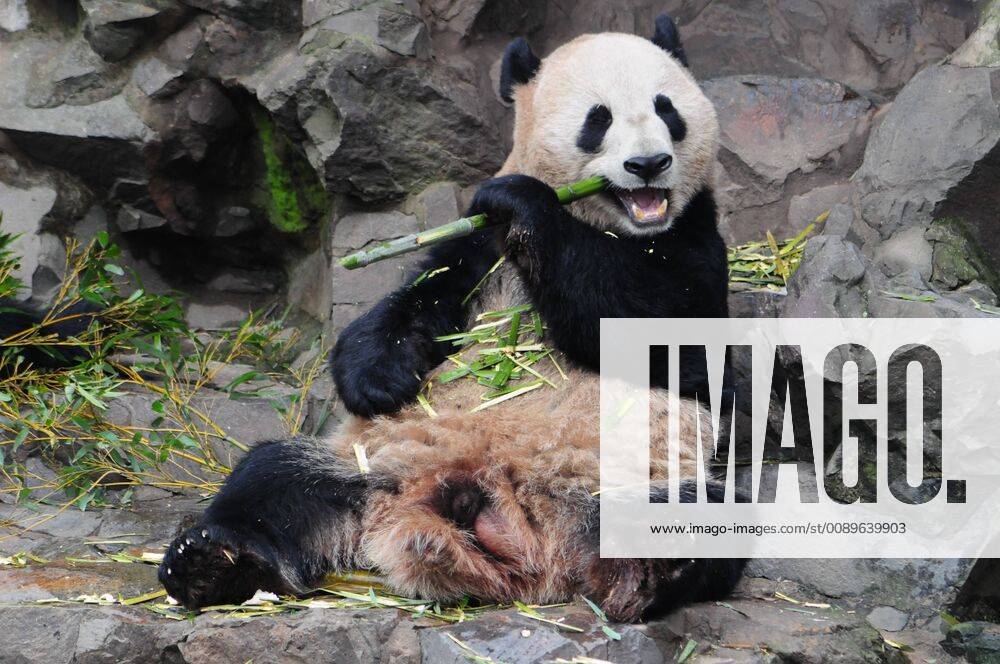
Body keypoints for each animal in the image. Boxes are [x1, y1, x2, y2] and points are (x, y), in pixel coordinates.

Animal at [158, 15, 744, 623]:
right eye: (597, 119)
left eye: (667, 109)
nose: (649, 164)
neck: (603, 222)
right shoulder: (476, 249)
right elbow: (414, 304)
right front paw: (377, 379)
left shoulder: (695, 240)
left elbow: (661, 328)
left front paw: (527, 202)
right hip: (367, 467)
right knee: (273, 479)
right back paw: (209, 563)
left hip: (629, 475)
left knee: (703, 514)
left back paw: (649, 572)